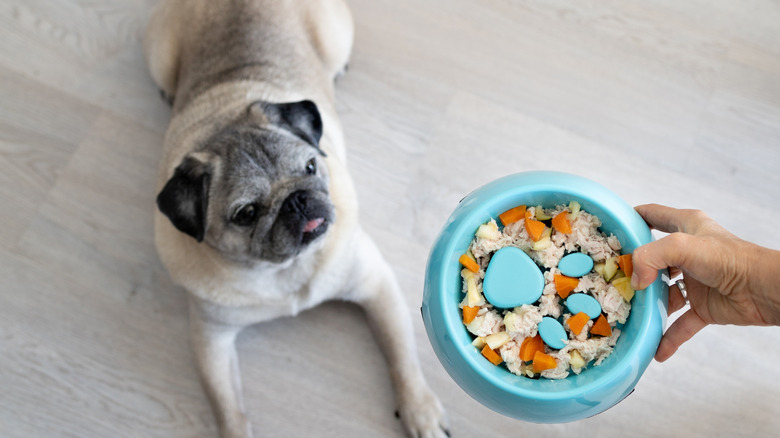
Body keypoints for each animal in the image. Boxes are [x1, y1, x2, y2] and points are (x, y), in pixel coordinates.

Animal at [143, 0, 448, 438]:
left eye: (310, 167)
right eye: (247, 213)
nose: (297, 200)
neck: (286, 270)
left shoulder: (376, 286)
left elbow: (402, 356)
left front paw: (419, 410)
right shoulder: (211, 339)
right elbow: (227, 406)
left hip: (336, 37)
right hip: (159, 56)